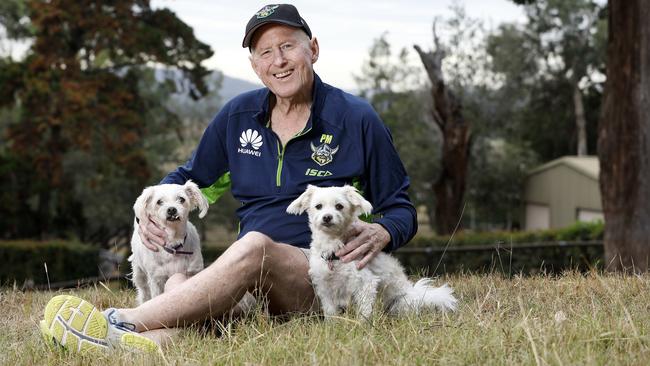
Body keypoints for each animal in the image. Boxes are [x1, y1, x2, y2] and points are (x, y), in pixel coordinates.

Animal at [286, 184, 458, 318]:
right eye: (318, 206)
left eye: (339, 206)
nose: (327, 217)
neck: (334, 249)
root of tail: (415, 293)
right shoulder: (325, 287)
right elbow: (330, 313)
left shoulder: (365, 283)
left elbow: (364, 312)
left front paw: (361, 328)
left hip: (401, 302)